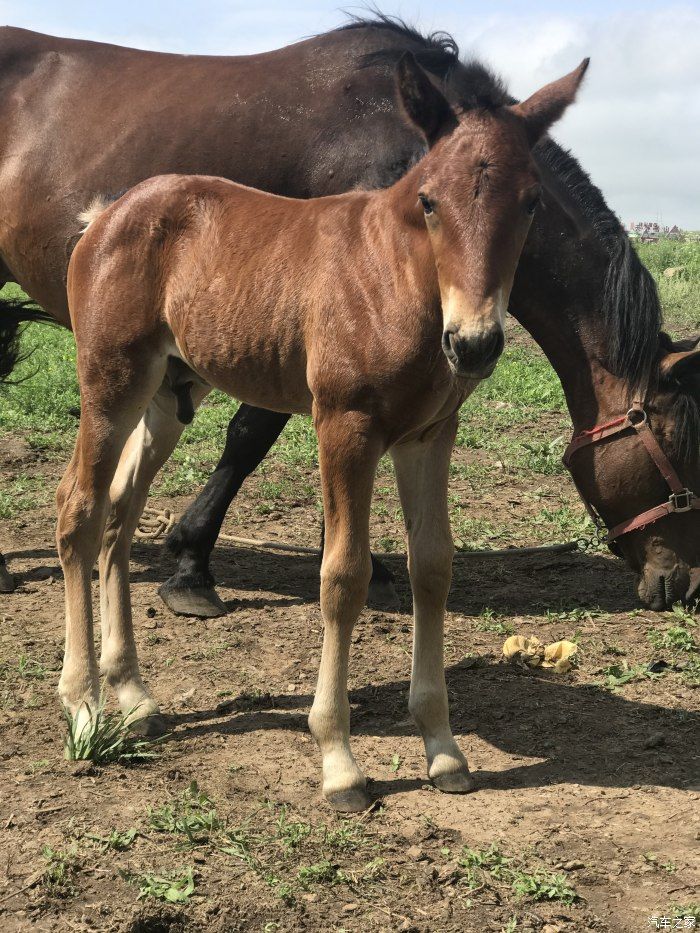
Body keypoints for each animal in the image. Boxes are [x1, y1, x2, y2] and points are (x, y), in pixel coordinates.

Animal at [58, 54, 584, 808]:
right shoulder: (345, 424)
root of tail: (106, 214)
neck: (396, 276)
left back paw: (134, 693)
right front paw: (339, 760)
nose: (474, 343)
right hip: (111, 380)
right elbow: (342, 575)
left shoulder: (430, 435)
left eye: (532, 201)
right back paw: (83, 705)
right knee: (79, 508)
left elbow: (433, 566)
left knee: (120, 515)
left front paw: (444, 749)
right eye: (430, 200)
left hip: (165, 395)